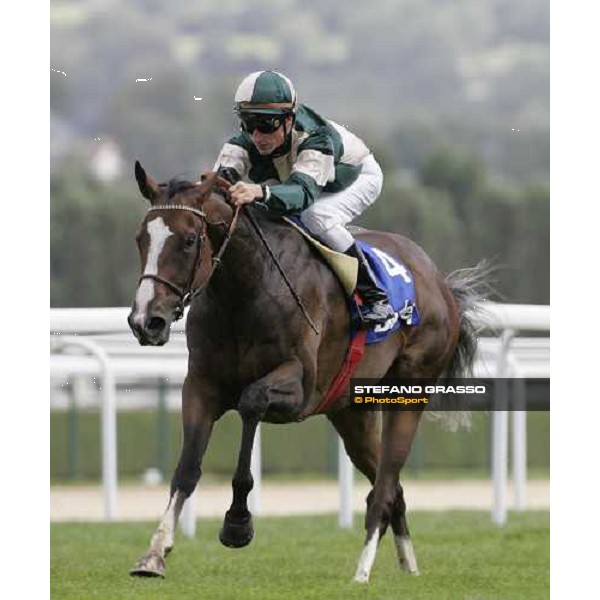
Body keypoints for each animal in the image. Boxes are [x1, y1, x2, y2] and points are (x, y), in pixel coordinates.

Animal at [127, 162, 482, 584]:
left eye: (188, 239)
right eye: (140, 239)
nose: (146, 321)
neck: (244, 290)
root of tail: (439, 282)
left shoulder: (299, 389)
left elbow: (251, 402)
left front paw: (238, 523)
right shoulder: (201, 385)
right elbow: (187, 468)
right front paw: (154, 554)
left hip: (408, 391)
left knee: (385, 485)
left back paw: (362, 572)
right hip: (352, 411)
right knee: (390, 485)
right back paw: (408, 567)